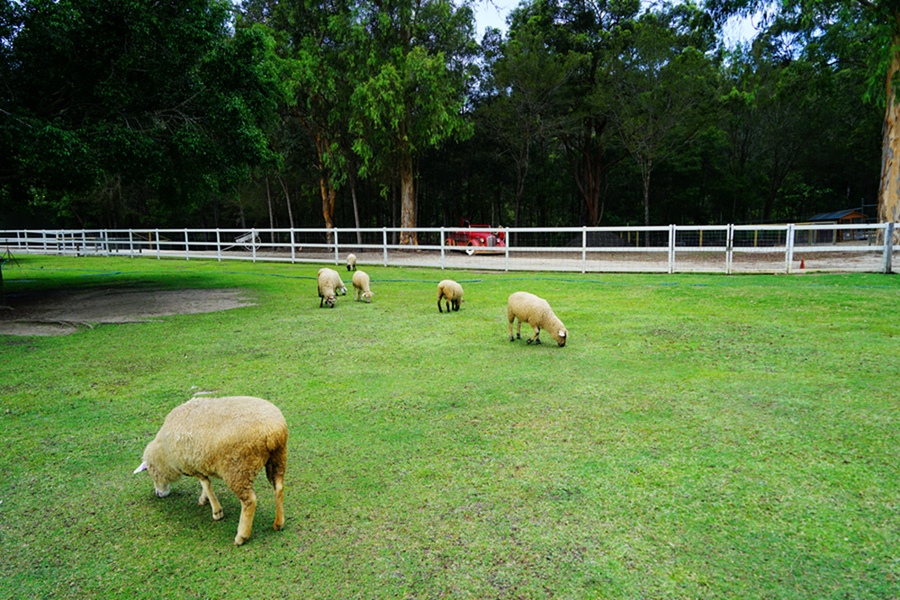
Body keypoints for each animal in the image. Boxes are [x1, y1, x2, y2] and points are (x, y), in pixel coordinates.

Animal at [133, 396, 288, 548]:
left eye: (151, 473)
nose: (158, 494)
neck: (165, 454)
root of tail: (272, 432)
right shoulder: (201, 462)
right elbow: (207, 483)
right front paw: (204, 499)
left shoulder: (191, 466)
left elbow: (205, 483)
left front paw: (217, 511)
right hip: (278, 458)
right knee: (279, 488)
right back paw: (278, 523)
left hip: (237, 469)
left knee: (249, 501)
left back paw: (241, 536)